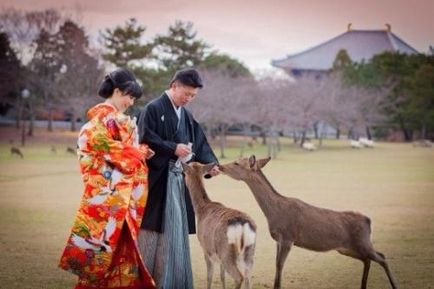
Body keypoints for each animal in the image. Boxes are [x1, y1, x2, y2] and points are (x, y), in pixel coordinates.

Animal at [219, 155, 398, 288]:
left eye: (236, 162)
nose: (220, 167)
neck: (274, 212)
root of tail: (369, 221)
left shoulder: (288, 237)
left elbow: (279, 265)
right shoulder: (278, 240)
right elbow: (277, 265)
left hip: (362, 242)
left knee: (381, 257)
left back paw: (394, 285)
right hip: (347, 248)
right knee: (368, 259)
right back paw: (363, 285)